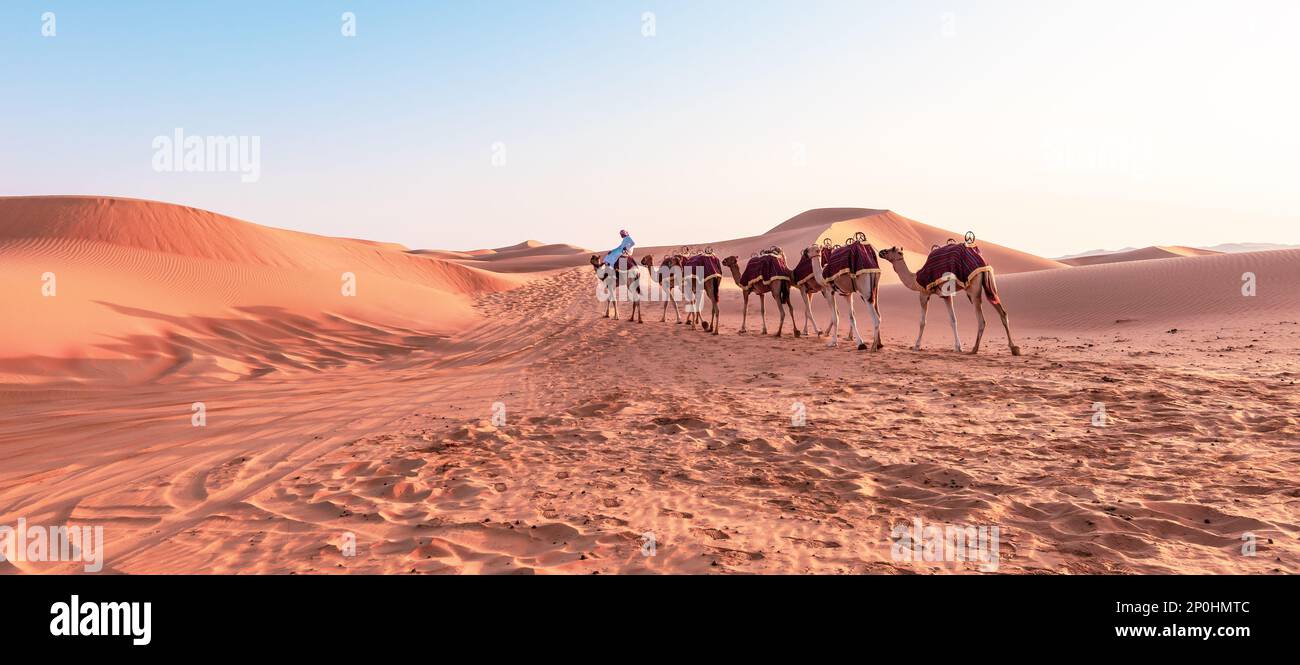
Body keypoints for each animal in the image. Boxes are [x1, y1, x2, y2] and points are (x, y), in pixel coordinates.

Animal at [878, 245, 1019, 358]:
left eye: (892, 249)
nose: (880, 252)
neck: (916, 279)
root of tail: (982, 262)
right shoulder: (947, 295)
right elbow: (953, 320)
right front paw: (958, 347)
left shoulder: (924, 294)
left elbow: (923, 322)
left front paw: (916, 346)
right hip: (990, 284)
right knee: (1003, 313)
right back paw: (1014, 348)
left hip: (973, 289)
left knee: (982, 320)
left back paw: (974, 349)